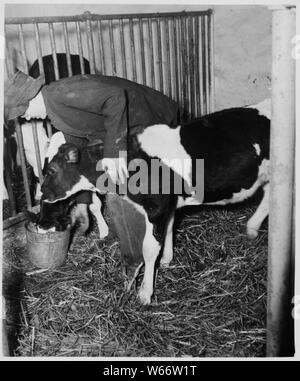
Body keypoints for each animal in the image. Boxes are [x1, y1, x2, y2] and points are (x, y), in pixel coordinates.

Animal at [39, 100, 270, 302]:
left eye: (51, 170)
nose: (42, 193)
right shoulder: (169, 205)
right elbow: (169, 229)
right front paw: (167, 258)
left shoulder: (157, 207)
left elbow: (149, 248)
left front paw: (144, 293)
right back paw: (251, 229)